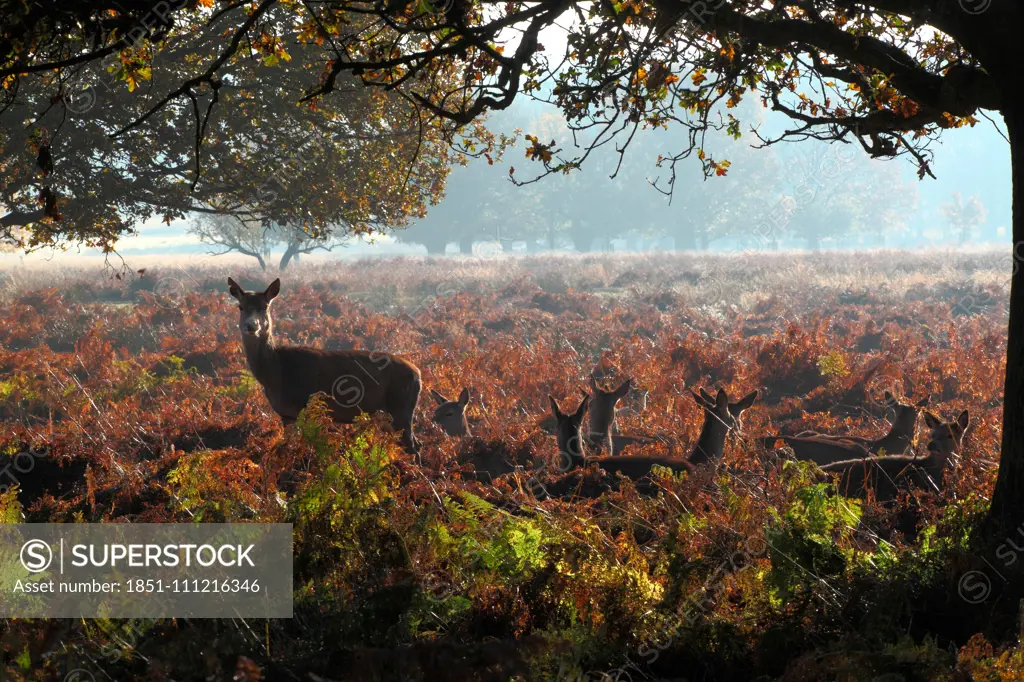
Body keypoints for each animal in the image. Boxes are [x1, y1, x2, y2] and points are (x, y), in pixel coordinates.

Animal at [230, 276, 421, 450]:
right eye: (241, 307)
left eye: (264, 306)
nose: (251, 326)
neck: (276, 375)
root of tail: (418, 374)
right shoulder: (286, 415)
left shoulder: (304, 407)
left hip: (401, 408)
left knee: (413, 446)